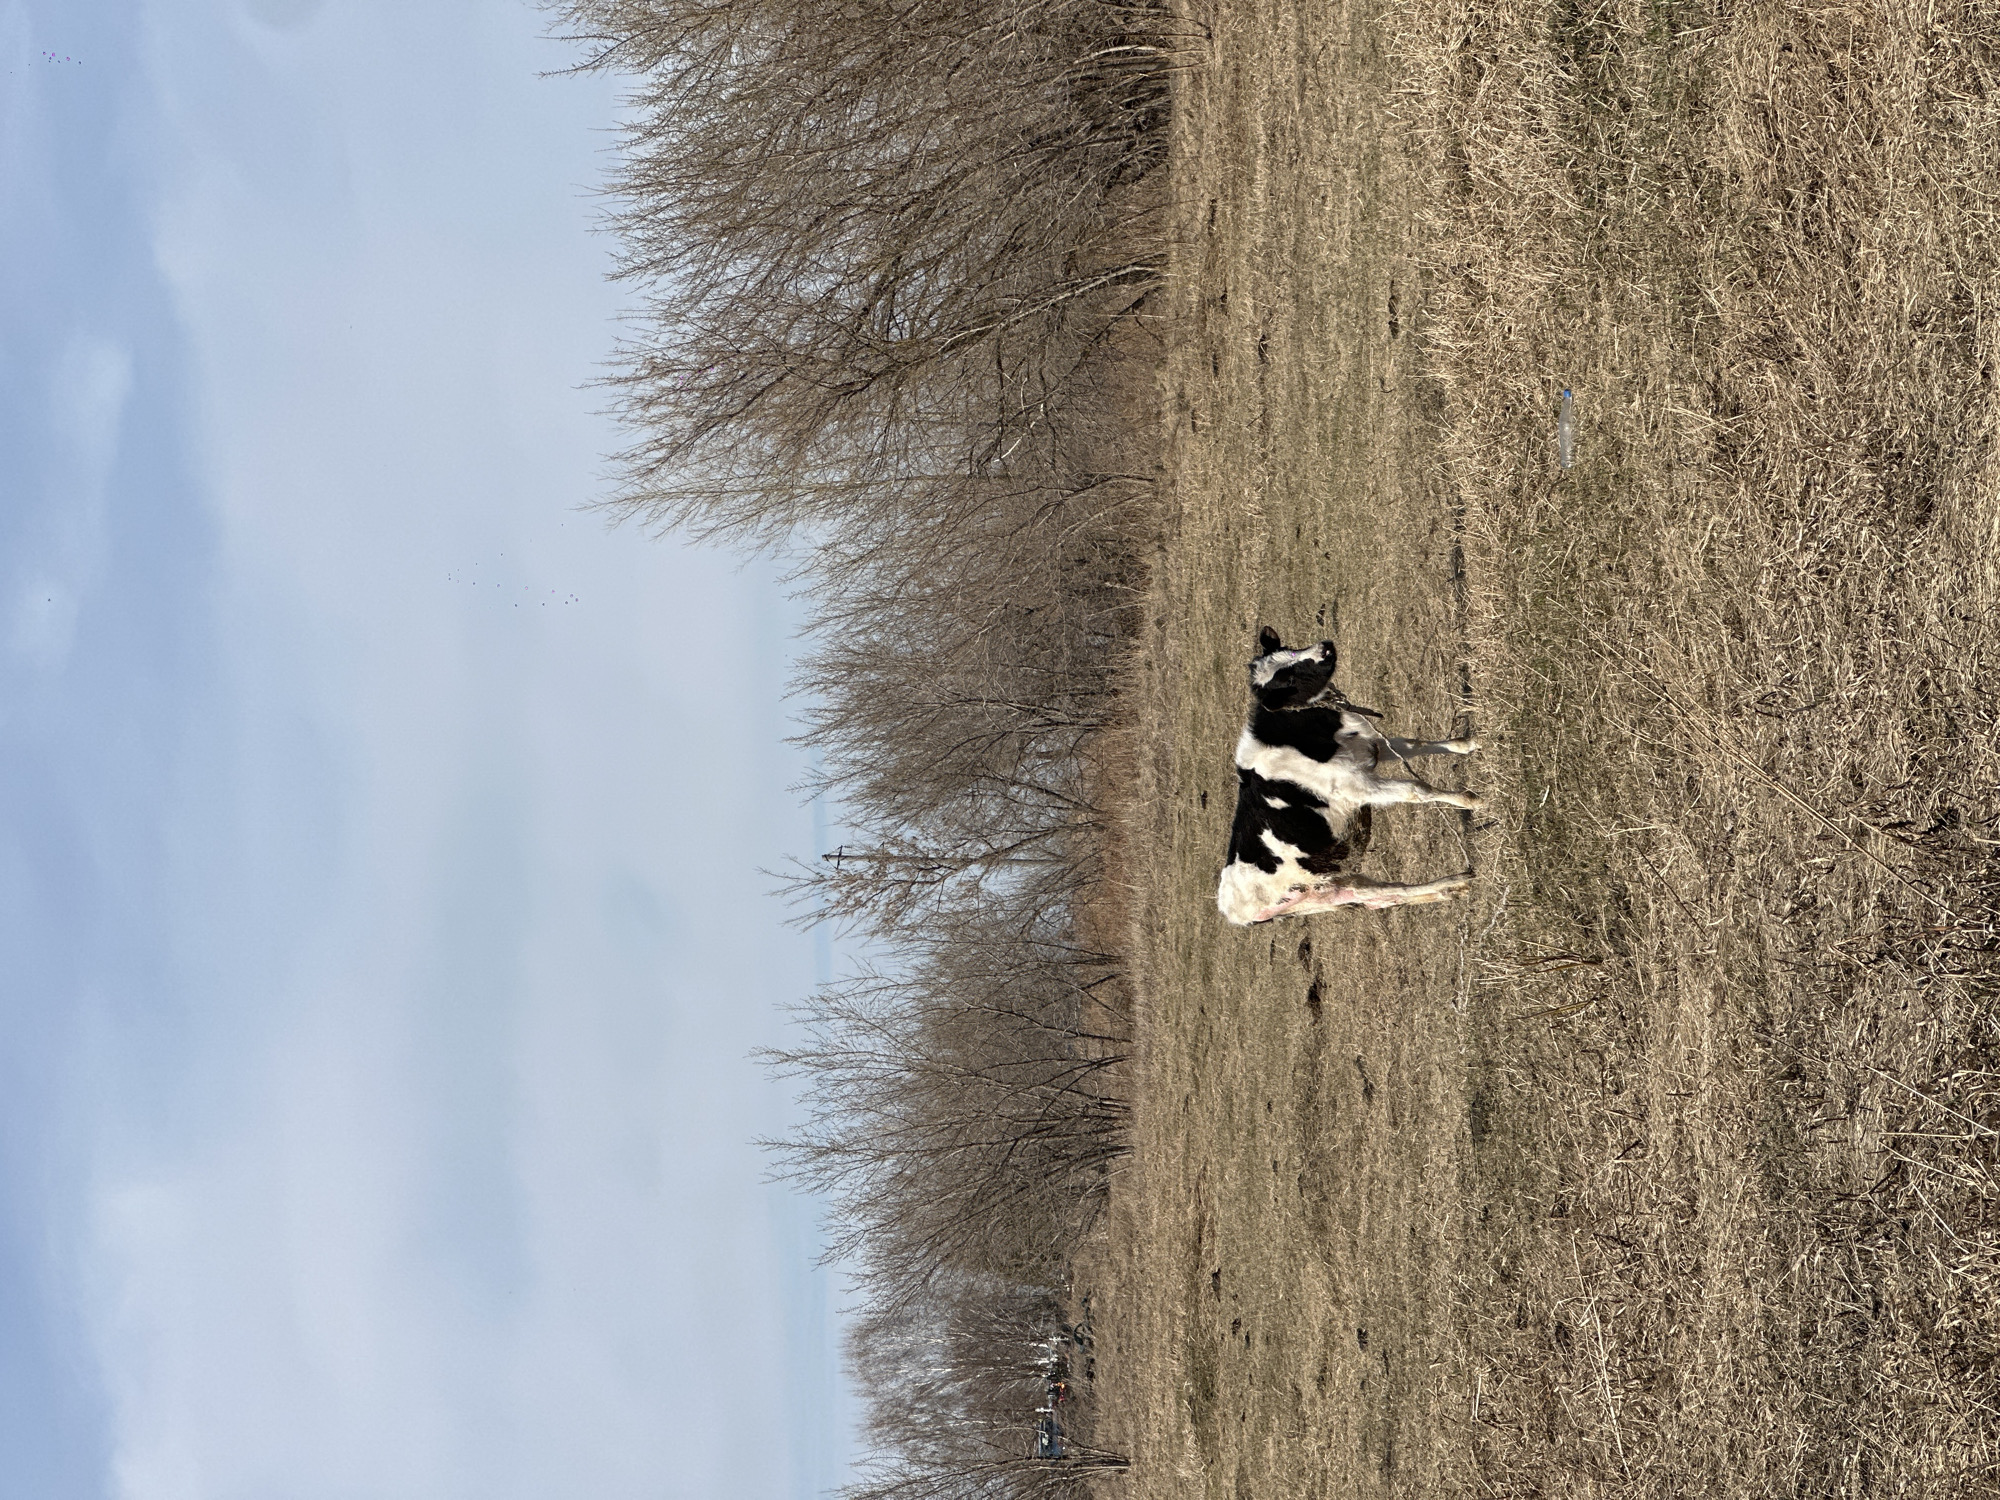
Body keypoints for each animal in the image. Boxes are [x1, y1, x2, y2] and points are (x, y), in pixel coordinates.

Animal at [1216, 626, 1481, 926]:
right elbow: (1417, 789)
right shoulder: (1357, 786)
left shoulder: (1372, 747)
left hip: (1324, 891)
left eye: (1290, 650)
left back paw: (1456, 886)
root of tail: (1230, 910)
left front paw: (1468, 744)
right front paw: (1471, 800)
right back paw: (1455, 885)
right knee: (1383, 895)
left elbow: (1417, 744)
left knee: (1384, 896)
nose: (1325, 647)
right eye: (1289, 679)